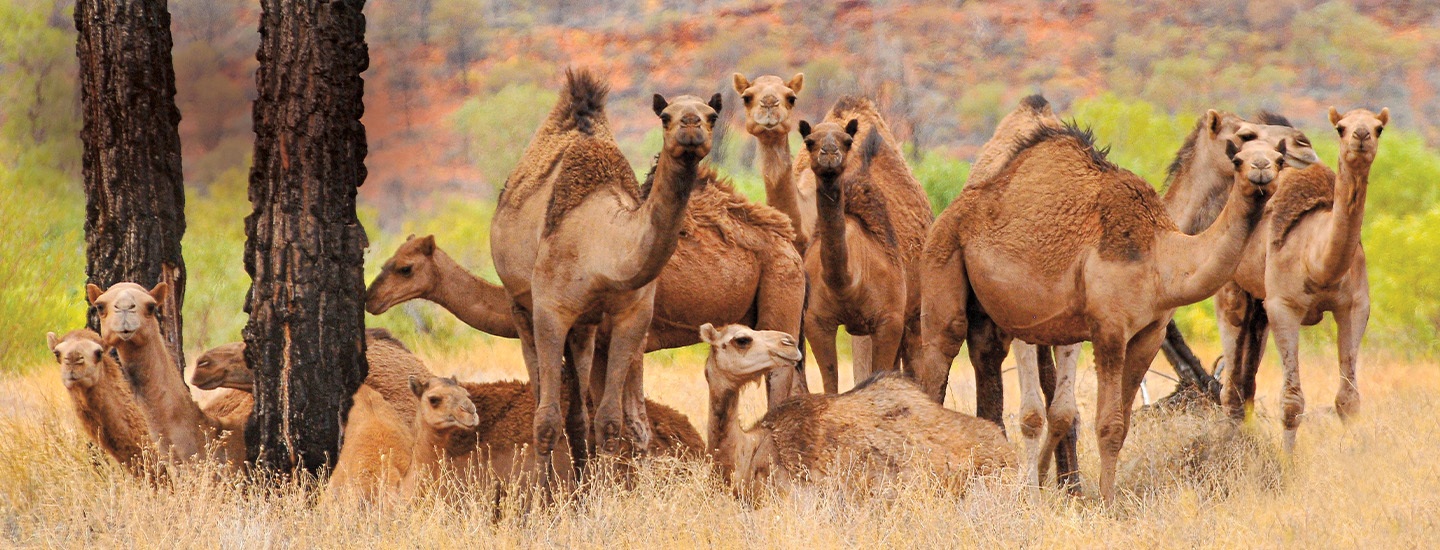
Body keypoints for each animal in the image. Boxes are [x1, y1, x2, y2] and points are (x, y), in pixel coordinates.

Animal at [490, 69, 718, 476]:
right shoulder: (550, 310)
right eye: (665, 116)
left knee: (580, 409)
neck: (604, 250)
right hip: (519, 305)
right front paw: (544, 495)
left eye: (712, 116)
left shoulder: (632, 315)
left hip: (585, 326)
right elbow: (546, 418)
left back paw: (581, 479)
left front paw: (603, 489)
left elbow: (610, 419)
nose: (690, 127)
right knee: (541, 397)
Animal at [794, 99, 933, 394]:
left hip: (914, 311)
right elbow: (831, 385)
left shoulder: (888, 320)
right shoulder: (816, 322)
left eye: (847, 141)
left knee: (916, 365)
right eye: (809, 141)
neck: (847, 281)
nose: (829, 153)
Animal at [915, 120, 1284, 501]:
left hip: (992, 313)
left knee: (986, 357)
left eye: (1279, 159)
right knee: (940, 354)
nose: (1260, 169)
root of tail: (953, 208)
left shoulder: (1150, 334)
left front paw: (1104, 498)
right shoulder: (1110, 330)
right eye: (1238, 158)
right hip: (942, 258)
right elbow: (1108, 423)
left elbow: (1122, 425)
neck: (1162, 256)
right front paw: (1104, 503)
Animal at [1219, 107, 1388, 451]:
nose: (1361, 136)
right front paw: (1288, 460)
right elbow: (1291, 401)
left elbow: (1348, 399)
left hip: (1258, 306)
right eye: (1340, 128)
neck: (1318, 261)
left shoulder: (1355, 306)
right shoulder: (1284, 306)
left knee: (1245, 381)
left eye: (1379, 127)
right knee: (1229, 385)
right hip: (1232, 290)